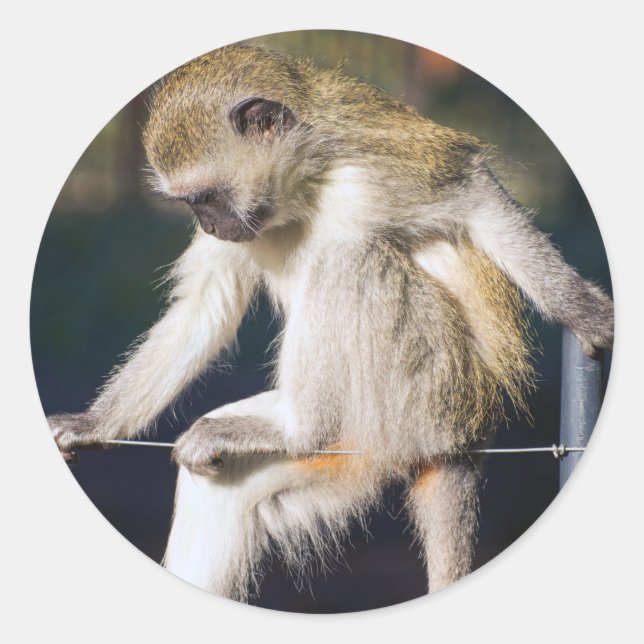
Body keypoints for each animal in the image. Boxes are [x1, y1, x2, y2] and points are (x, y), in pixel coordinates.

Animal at [48, 44, 613, 602]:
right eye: (191, 205)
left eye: (206, 198)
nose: (207, 225)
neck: (302, 187)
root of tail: (467, 438)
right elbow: (204, 305)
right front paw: (93, 425)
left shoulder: (372, 173)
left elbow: (476, 195)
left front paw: (580, 308)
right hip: (369, 443)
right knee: (222, 485)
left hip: (427, 395)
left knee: (346, 258)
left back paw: (300, 429)